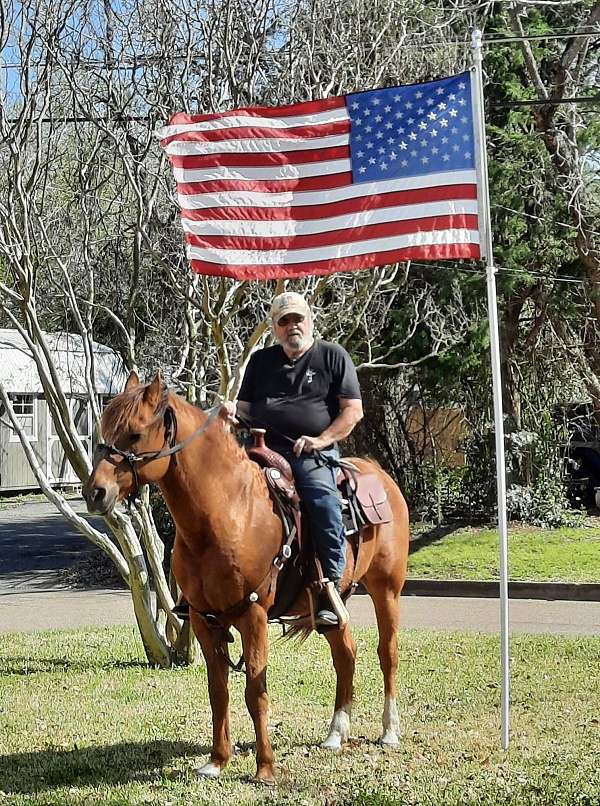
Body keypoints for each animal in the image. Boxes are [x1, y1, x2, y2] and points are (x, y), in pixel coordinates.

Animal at [84, 372, 410, 784]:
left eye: (135, 433)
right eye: (105, 430)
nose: (95, 492)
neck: (225, 514)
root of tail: (379, 474)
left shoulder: (253, 615)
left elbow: (256, 690)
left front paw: (265, 767)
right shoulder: (204, 619)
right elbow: (218, 690)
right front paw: (217, 760)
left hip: (387, 589)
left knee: (388, 653)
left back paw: (390, 730)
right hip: (331, 607)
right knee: (345, 654)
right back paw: (336, 733)